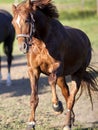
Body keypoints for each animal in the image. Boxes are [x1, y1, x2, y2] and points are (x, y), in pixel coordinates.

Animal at [11, 0, 98, 129]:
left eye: (26, 20)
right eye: (13, 22)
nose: (22, 47)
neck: (41, 43)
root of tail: (85, 38)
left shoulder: (56, 67)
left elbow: (51, 81)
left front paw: (57, 106)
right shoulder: (33, 70)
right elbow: (33, 97)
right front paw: (31, 123)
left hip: (78, 73)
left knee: (71, 98)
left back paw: (67, 124)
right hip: (61, 78)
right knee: (67, 94)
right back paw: (71, 119)